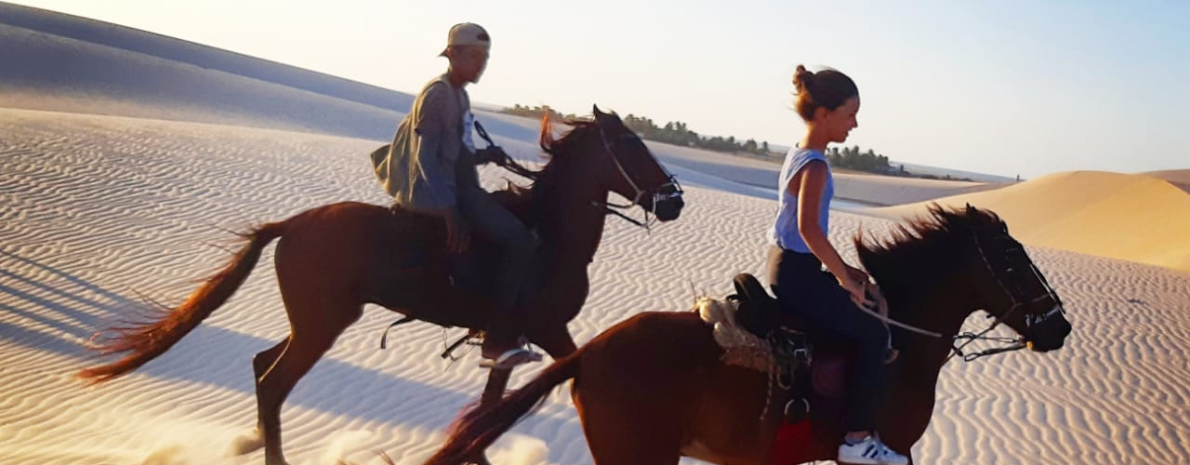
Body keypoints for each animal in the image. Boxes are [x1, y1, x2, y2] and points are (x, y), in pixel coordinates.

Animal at [79, 106, 685, 465]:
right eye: (633, 148)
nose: (675, 201)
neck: (551, 234)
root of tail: (290, 224)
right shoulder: (547, 330)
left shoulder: (511, 342)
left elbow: (490, 408)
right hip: (322, 325)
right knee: (275, 382)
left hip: (317, 321)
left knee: (261, 366)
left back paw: (250, 439)